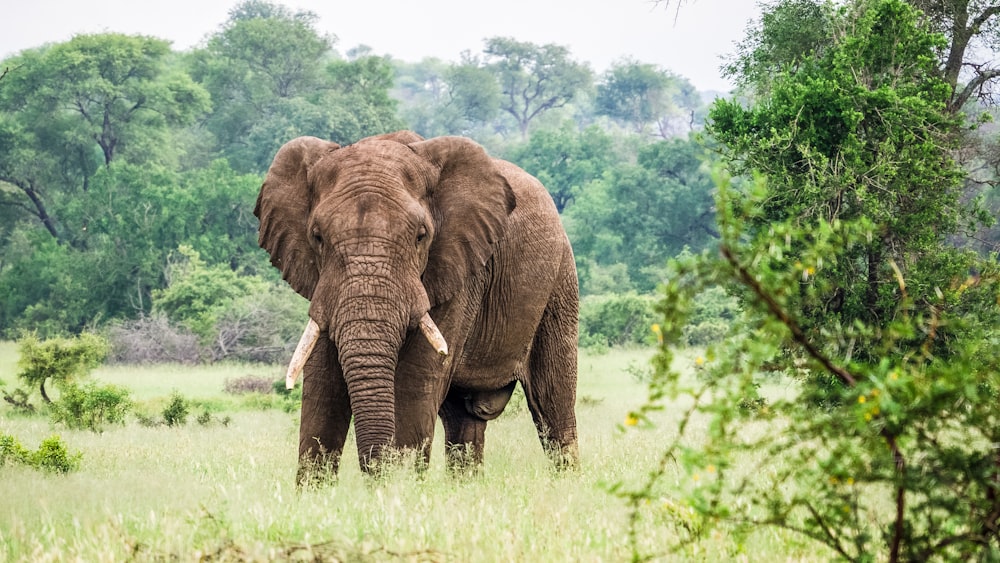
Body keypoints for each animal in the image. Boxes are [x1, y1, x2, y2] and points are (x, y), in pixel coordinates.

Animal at [254, 132, 584, 480]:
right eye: (317, 237)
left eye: (420, 236)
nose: (376, 473)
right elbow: (322, 385)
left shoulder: (458, 271)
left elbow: (414, 382)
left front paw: (400, 486)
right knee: (463, 420)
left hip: (560, 281)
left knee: (553, 403)